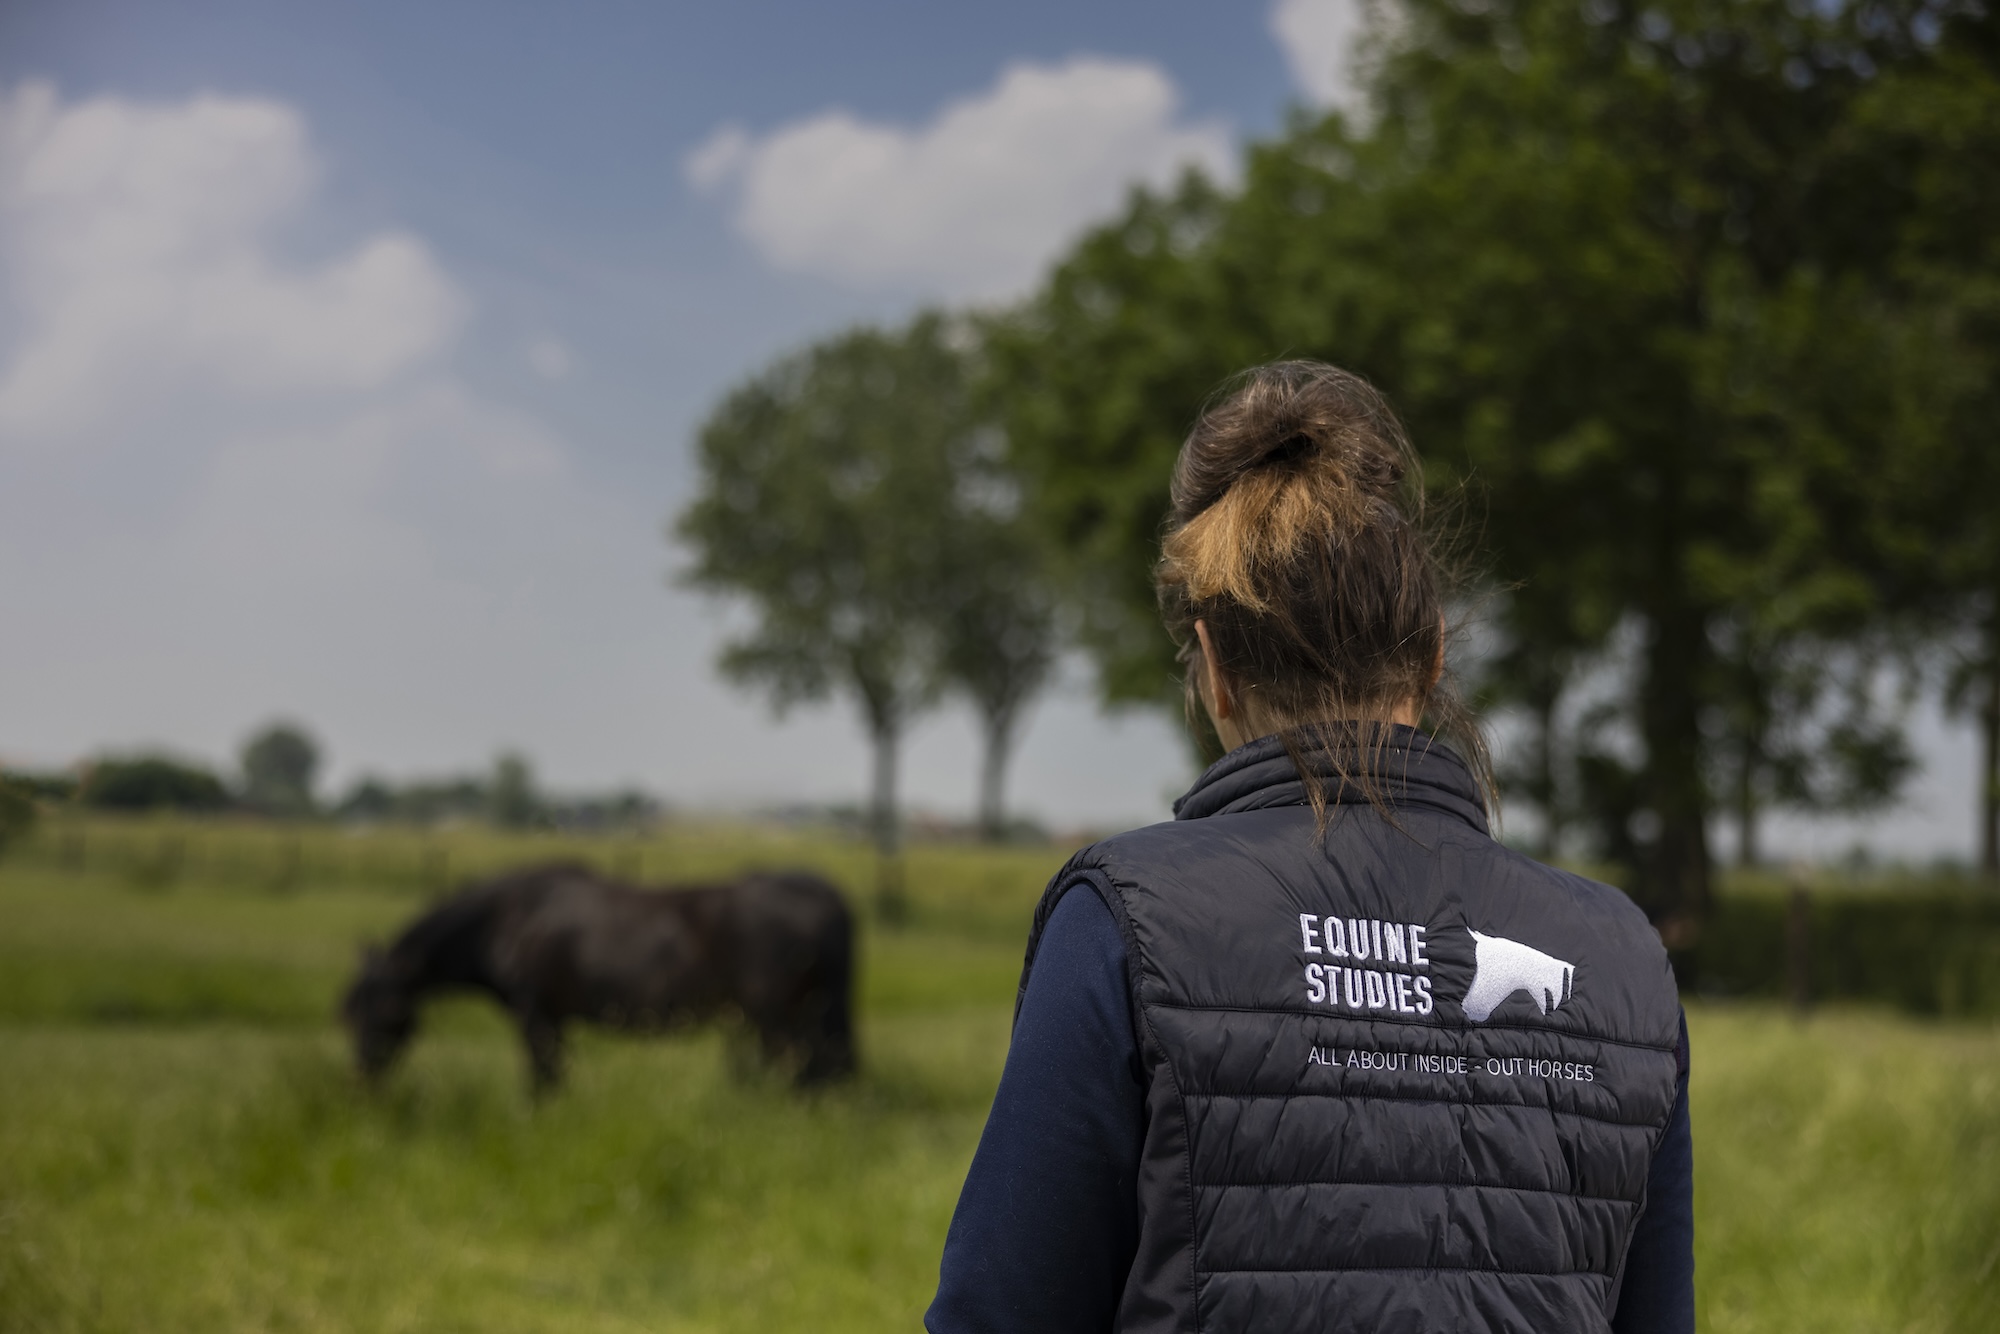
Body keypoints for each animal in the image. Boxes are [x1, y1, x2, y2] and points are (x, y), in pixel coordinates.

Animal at [340, 862, 855, 1092]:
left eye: (388, 1010)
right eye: (346, 1015)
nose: (364, 1075)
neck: (511, 918)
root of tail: (817, 891)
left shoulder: (537, 1017)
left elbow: (543, 1078)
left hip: (780, 1019)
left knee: (808, 1070)